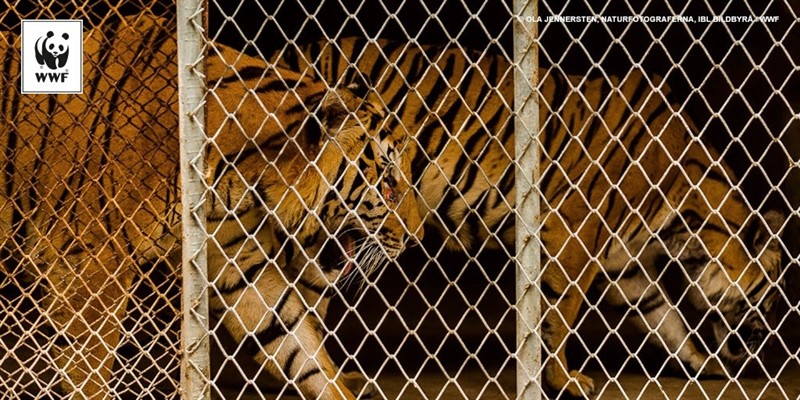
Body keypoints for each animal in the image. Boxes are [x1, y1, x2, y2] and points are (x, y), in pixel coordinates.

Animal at [0, 16, 421, 400]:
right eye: (388, 183)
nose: (415, 240)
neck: (245, 178)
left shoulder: (236, 261)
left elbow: (297, 345)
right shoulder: (90, 266)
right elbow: (88, 369)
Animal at [272, 37, 785, 397]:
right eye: (769, 296)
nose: (765, 344)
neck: (687, 221)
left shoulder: (628, 265)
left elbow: (668, 321)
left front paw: (706, 364)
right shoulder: (573, 234)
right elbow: (560, 313)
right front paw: (565, 381)